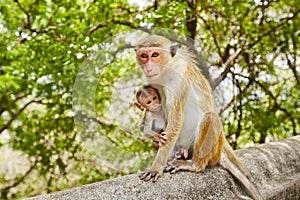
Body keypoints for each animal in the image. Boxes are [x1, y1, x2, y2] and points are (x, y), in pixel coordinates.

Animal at [135, 35, 262, 199]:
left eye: (155, 54)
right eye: (144, 55)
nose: (149, 67)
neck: (167, 67)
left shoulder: (179, 79)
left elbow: (176, 118)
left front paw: (156, 167)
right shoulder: (154, 82)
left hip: (213, 151)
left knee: (210, 117)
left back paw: (194, 165)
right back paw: (180, 154)